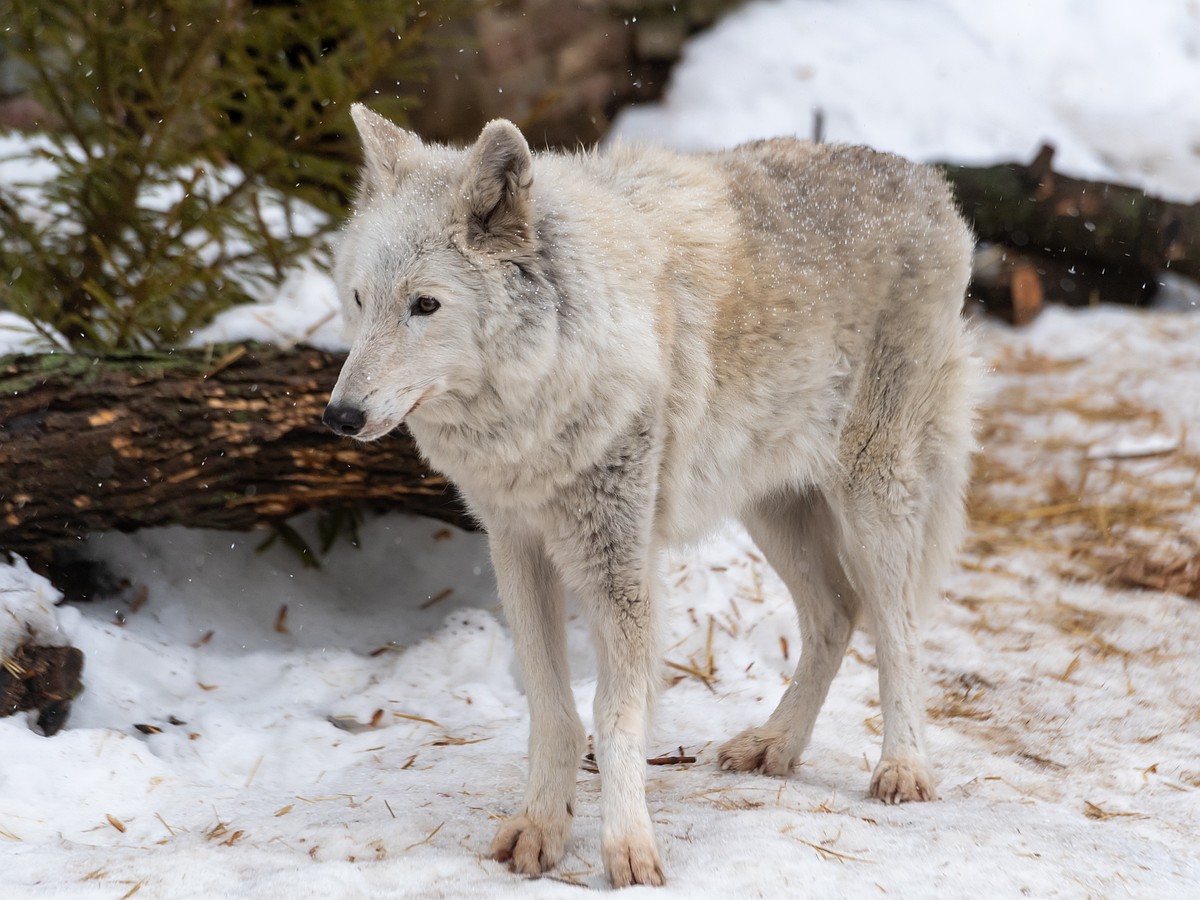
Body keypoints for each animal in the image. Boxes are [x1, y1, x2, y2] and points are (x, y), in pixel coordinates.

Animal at [324, 105, 979, 888]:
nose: (340, 416)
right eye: (359, 299)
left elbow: (614, 714)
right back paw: (776, 744)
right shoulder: (517, 546)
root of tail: (930, 183)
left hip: (872, 495)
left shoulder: (619, 565)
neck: (544, 392)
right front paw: (541, 828)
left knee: (899, 627)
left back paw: (903, 767)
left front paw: (629, 849)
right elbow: (552, 707)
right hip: (771, 507)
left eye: (425, 305)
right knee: (836, 615)